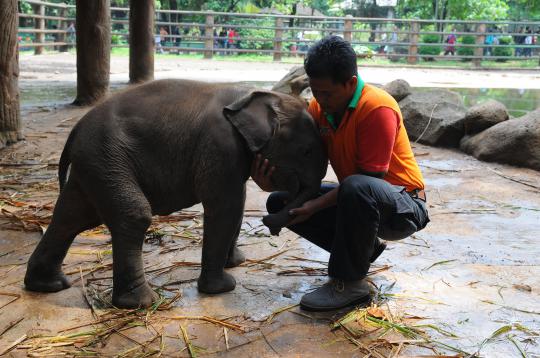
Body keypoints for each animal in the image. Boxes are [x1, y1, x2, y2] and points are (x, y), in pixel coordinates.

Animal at [25, 78, 326, 308]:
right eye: (307, 151)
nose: (271, 224)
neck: (250, 95)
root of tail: (74, 131)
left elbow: (238, 204)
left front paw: (236, 263)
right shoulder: (220, 146)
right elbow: (224, 207)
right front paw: (224, 287)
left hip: (94, 164)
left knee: (71, 218)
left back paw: (49, 285)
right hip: (106, 158)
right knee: (131, 215)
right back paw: (141, 303)